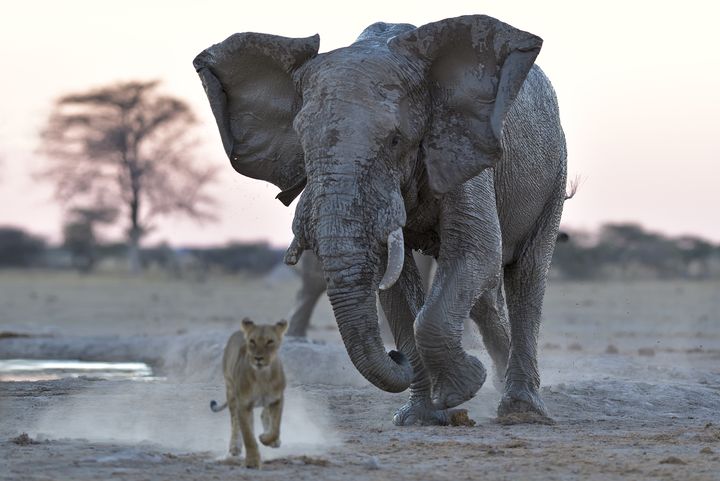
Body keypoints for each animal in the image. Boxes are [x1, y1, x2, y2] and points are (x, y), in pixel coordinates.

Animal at [194, 13, 564, 424]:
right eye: (302, 143)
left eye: (395, 140)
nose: (394, 355)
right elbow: (395, 283)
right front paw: (420, 417)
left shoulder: (460, 145)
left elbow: (475, 250)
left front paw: (462, 389)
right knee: (483, 297)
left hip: (554, 171)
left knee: (526, 274)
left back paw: (521, 410)